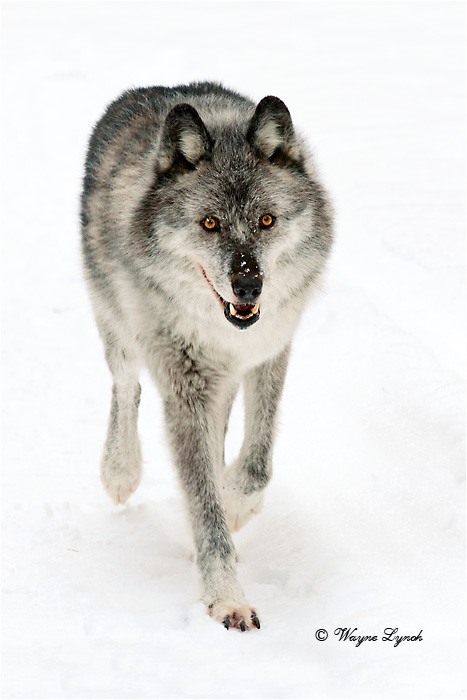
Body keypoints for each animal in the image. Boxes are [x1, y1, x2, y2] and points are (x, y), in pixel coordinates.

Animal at [81, 82, 333, 631]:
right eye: (210, 223)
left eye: (266, 220)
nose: (248, 284)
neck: (224, 330)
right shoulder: (185, 388)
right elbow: (203, 502)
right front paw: (226, 598)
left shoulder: (269, 353)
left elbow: (255, 464)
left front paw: (236, 505)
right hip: (122, 332)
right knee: (125, 387)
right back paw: (120, 471)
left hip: (225, 383)